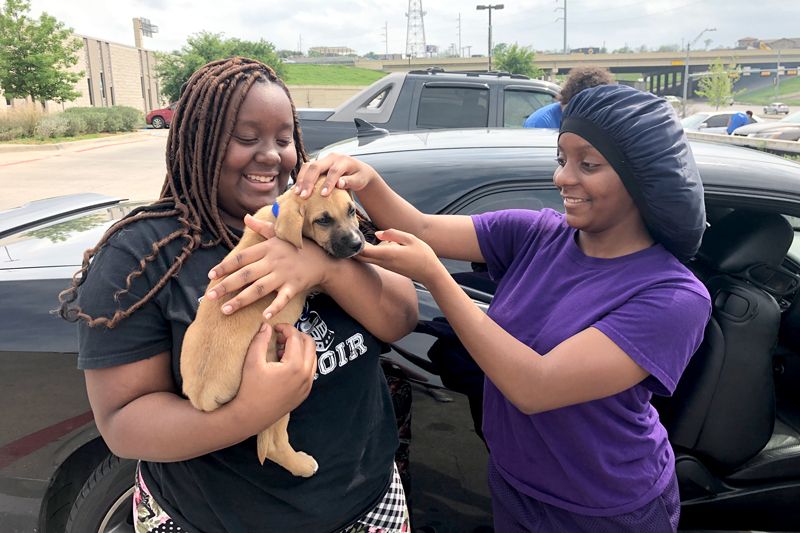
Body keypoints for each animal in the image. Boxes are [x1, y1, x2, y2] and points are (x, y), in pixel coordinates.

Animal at [180, 181, 364, 476]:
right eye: (322, 221)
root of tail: (202, 394)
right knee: (274, 444)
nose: (357, 244)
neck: (277, 217)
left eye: (351, 211)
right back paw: (302, 465)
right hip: (275, 393)